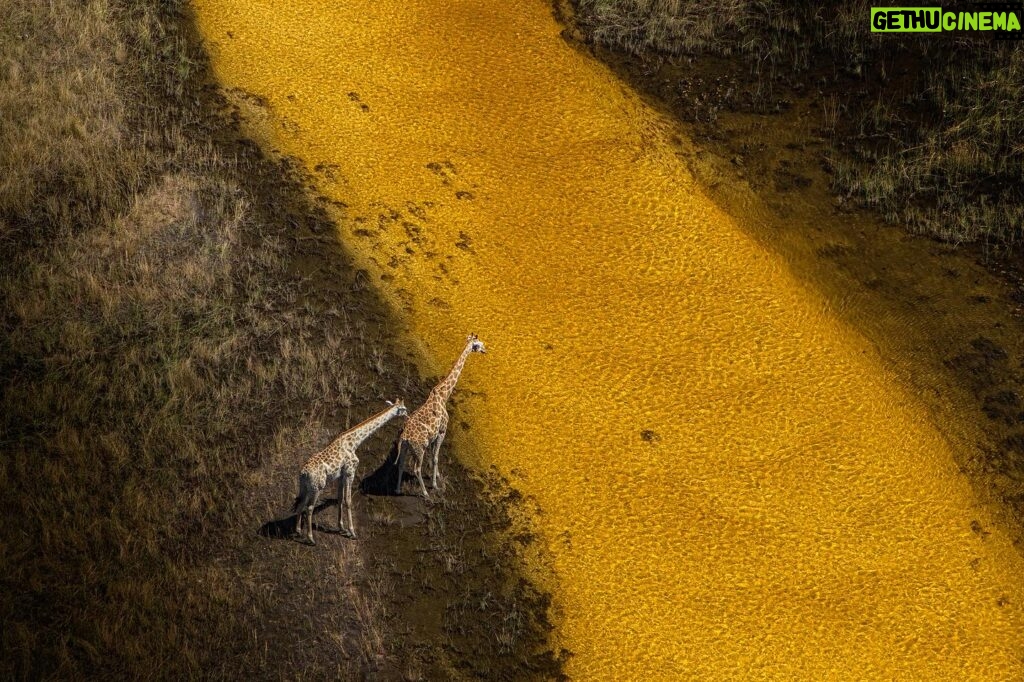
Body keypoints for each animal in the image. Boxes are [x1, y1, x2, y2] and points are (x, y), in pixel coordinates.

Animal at [290, 395, 405, 544]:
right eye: (403, 408)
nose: (407, 415)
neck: (354, 442)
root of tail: (303, 473)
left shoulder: (341, 475)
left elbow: (340, 498)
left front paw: (341, 528)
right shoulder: (351, 471)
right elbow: (348, 501)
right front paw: (352, 532)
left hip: (305, 487)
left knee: (300, 503)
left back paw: (298, 531)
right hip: (318, 487)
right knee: (309, 508)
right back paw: (311, 538)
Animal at [393, 331, 485, 497]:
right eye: (479, 344)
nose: (485, 350)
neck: (443, 395)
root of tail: (405, 437)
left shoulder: (433, 436)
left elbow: (432, 457)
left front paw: (436, 476)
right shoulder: (442, 431)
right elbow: (435, 458)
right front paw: (435, 484)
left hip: (404, 447)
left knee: (401, 464)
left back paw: (397, 490)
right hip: (419, 448)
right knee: (416, 468)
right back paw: (425, 493)